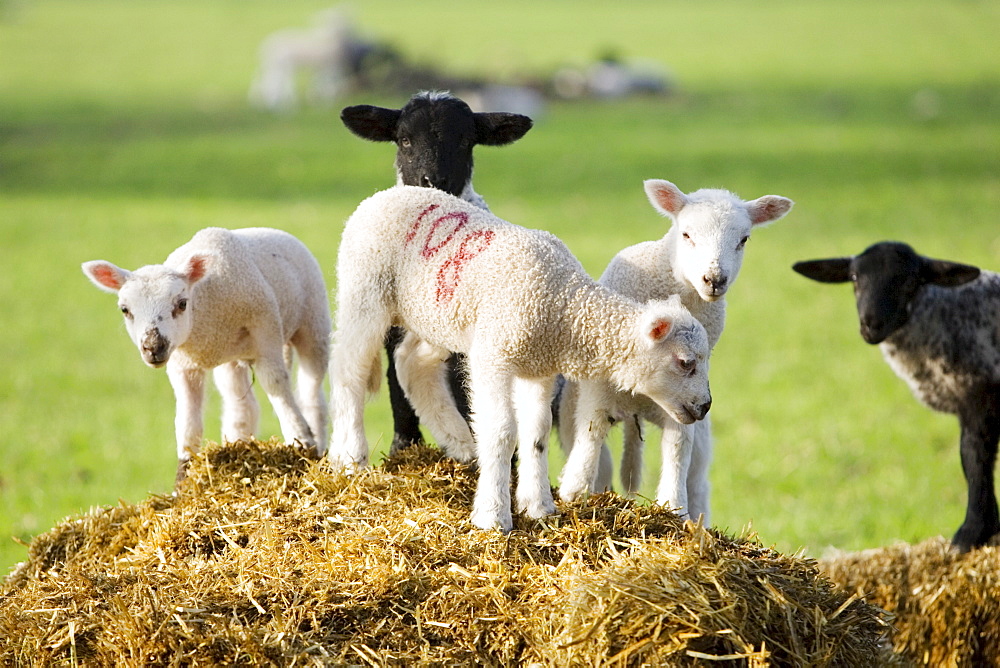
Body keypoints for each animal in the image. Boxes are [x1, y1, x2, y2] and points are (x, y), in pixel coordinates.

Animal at [82, 228, 330, 480]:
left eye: (182, 304)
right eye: (125, 310)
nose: (153, 347)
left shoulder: (266, 335)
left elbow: (276, 386)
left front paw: (302, 441)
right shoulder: (182, 364)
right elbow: (188, 419)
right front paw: (183, 474)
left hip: (313, 322)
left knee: (312, 394)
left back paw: (317, 443)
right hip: (231, 359)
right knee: (241, 406)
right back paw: (238, 443)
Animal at [328, 187, 712, 532]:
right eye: (685, 362)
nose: (706, 405)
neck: (565, 305)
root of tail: (380, 196)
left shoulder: (537, 367)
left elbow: (536, 430)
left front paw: (538, 505)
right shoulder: (493, 355)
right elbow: (501, 430)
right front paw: (493, 515)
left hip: (435, 314)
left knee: (411, 363)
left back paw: (459, 442)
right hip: (365, 291)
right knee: (348, 371)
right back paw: (348, 457)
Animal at [340, 90, 532, 454]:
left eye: (466, 141)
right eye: (404, 140)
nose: (433, 180)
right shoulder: (392, 331)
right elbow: (398, 389)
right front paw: (404, 447)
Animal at [560, 179, 792, 520]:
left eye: (744, 239)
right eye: (686, 234)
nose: (714, 279)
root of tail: (637, 411)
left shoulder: (685, 400)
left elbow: (677, 450)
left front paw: (672, 508)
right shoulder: (599, 385)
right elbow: (592, 436)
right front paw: (574, 494)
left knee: (696, 481)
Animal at [792, 241, 996, 552]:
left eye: (911, 281)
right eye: (854, 278)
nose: (871, 324)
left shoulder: (979, 396)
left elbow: (974, 461)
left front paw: (969, 535)